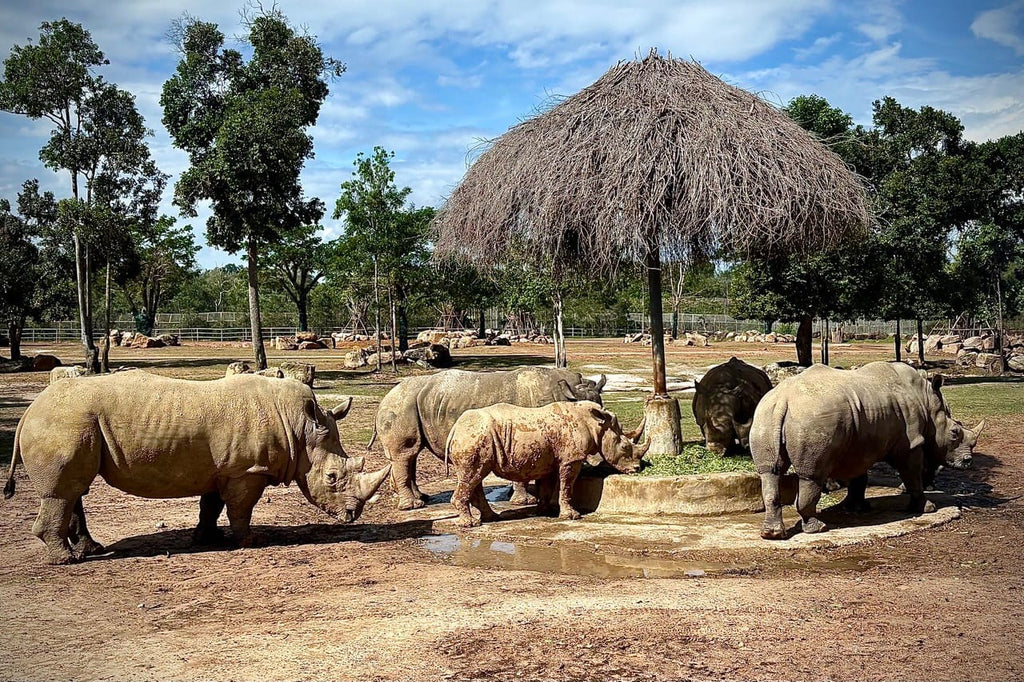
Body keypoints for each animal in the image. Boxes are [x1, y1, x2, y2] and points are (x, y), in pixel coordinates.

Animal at [4, 371, 391, 564]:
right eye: (332, 478)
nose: (352, 516)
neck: (299, 427)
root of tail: (30, 410)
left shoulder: (221, 470)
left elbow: (211, 505)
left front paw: (206, 539)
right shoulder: (246, 471)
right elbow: (240, 508)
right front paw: (251, 541)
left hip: (73, 423)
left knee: (75, 490)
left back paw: (91, 550)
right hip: (65, 423)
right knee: (63, 492)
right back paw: (66, 561)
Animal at [372, 368, 607, 510]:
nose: (598, 463)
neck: (566, 393)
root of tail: (386, 396)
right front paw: (524, 502)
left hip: (411, 404)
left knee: (410, 455)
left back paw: (422, 499)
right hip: (401, 406)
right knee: (405, 454)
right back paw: (413, 506)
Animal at [444, 401, 648, 527]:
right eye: (624, 447)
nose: (636, 469)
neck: (596, 424)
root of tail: (454, 428)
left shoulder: (548, 460)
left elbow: (547, 486)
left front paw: (546, 511)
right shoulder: (571, 459)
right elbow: (567, 486)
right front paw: (572, 516)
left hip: (475, 437)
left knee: (476, 476)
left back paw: (491, 518)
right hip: (475, 436)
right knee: (473, 475)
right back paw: (471, 524)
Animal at [750, 362, 966, 540]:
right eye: (955, 433)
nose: (967, 461)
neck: (926, 401)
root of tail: (782, 401)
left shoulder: (859, 442)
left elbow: (859, 476)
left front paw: (857, 508)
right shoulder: (911, 443)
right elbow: (912, 475)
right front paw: (928, 508)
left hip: (765, 415)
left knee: (769, 472)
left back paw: (772, 534)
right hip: (811, 419)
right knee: (811, 475)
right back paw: (818, 528)